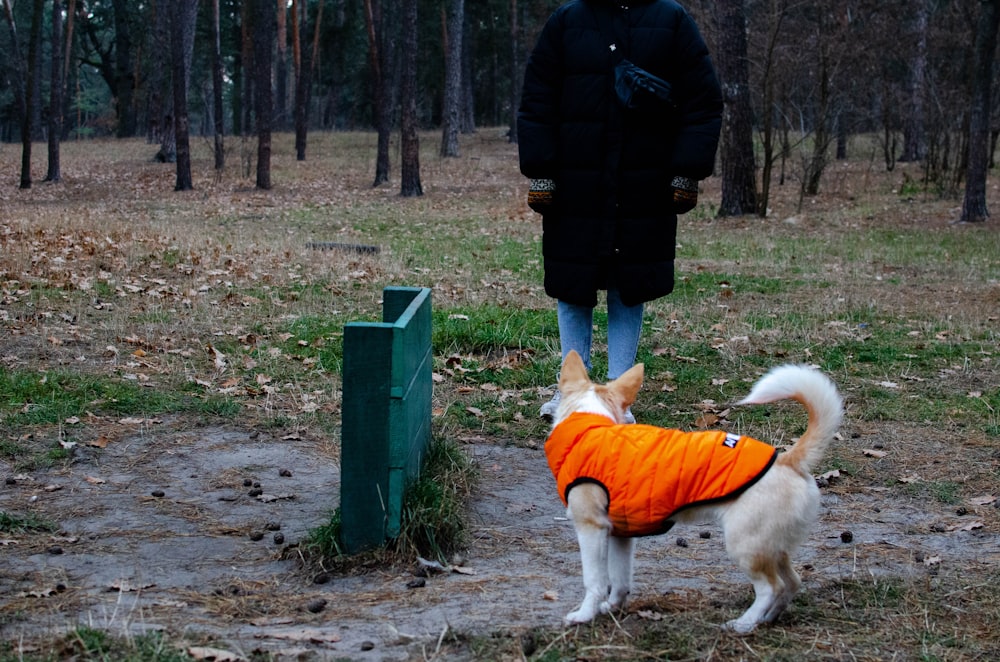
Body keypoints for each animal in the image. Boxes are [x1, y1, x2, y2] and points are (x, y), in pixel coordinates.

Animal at [548, 350, 844, 636]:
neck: (590, 423)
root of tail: (788, 460)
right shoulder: (622, 535)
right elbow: (620, 580)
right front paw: (611, 608)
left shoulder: (591, 528)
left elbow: (595, 580)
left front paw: (584, 615)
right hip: (772, 546)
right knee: (792, 582)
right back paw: (768, 619)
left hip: (745, 545)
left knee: (772, 587)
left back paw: (743, 624)